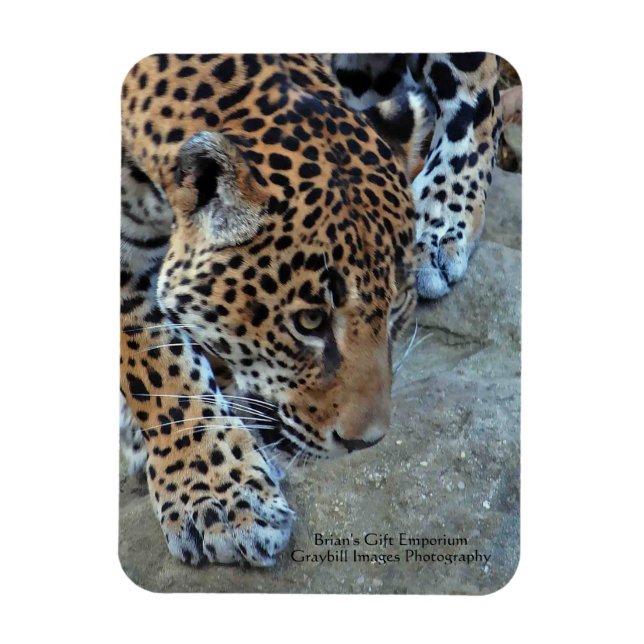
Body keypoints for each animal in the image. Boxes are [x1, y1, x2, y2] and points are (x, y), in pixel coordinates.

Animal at [120, 53, 501, 567]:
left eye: (396, 306)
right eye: (309, 321)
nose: (366, 442)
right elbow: (158, 370)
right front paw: (219, 497)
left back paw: (442, 222)